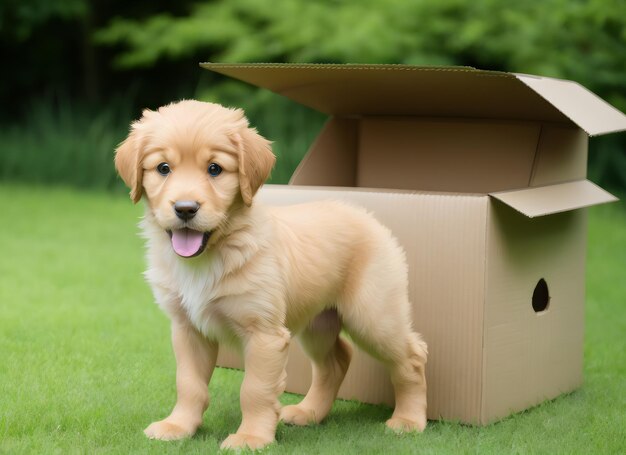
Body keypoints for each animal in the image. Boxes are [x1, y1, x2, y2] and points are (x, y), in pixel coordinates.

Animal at [114, 100, 426, 448]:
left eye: (215, 169)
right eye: (163, 168)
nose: (185, 209)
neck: (212, 255)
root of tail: (367, 215)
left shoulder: (263, 333)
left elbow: (255, 390)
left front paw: (250, 437)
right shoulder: (188, 329)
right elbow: (188, 384)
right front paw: (178, 426)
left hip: (373, 315)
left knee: (412, 355)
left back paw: (408, 421)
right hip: (318, 321)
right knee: (337, 360)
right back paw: (308, 413)